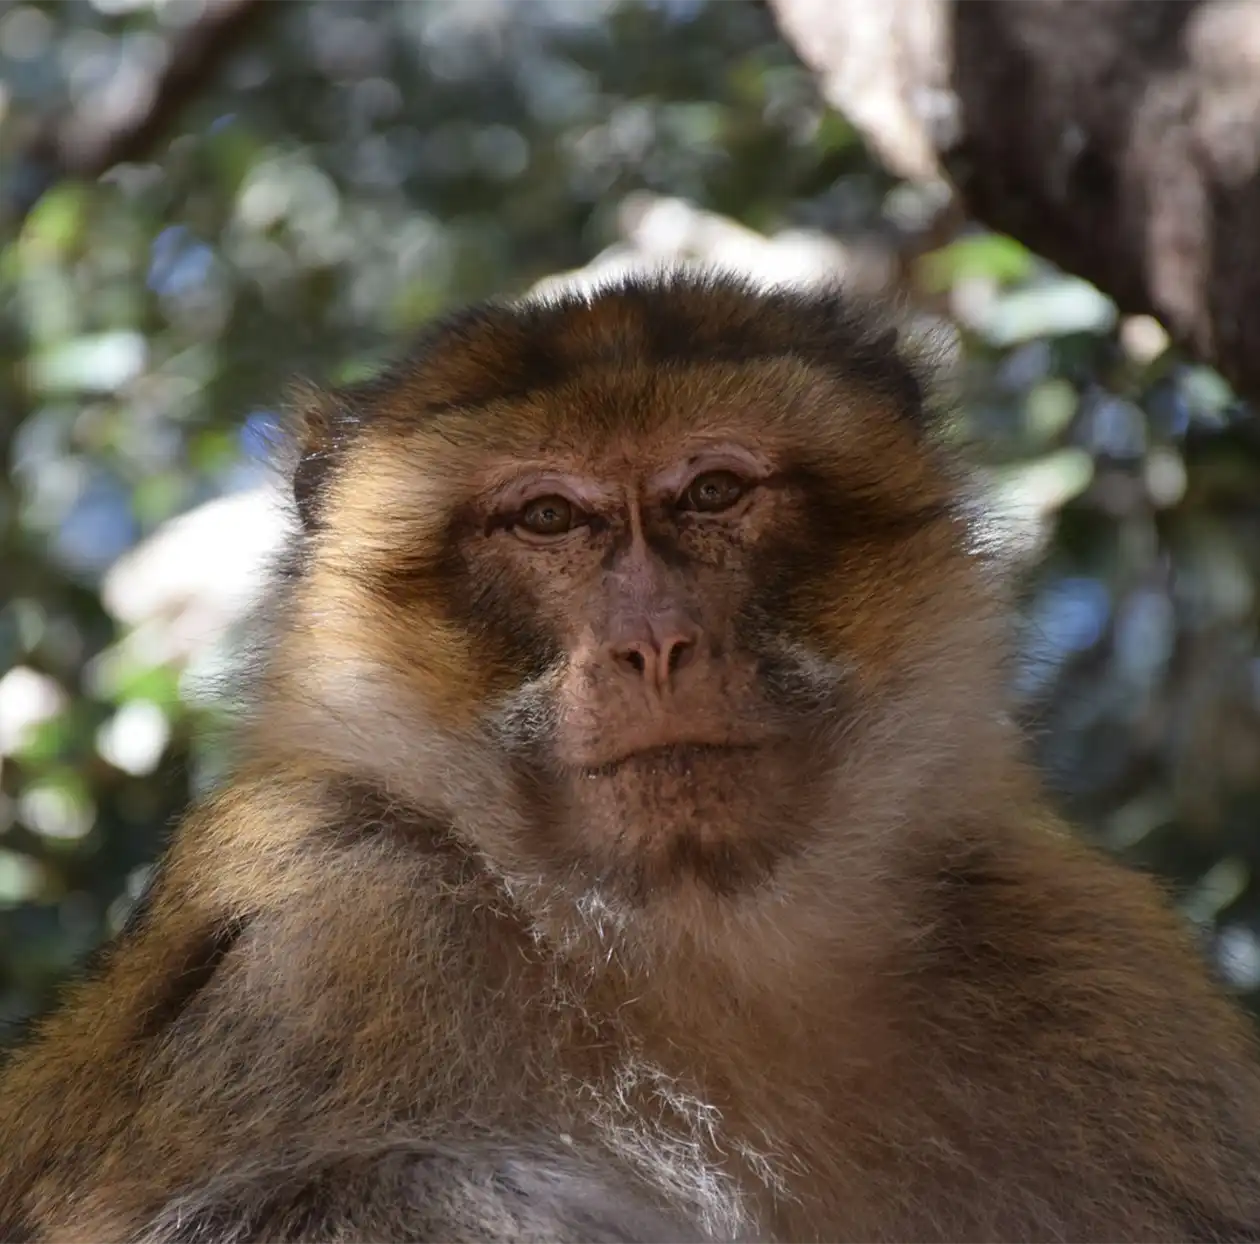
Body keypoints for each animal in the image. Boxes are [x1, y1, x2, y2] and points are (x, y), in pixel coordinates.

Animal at [4, 269, 1260, 1244]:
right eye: (550, 518)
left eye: (712, 492)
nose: (654, 640)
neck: (690, 948)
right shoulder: (321, 917)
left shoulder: (1088, 952)